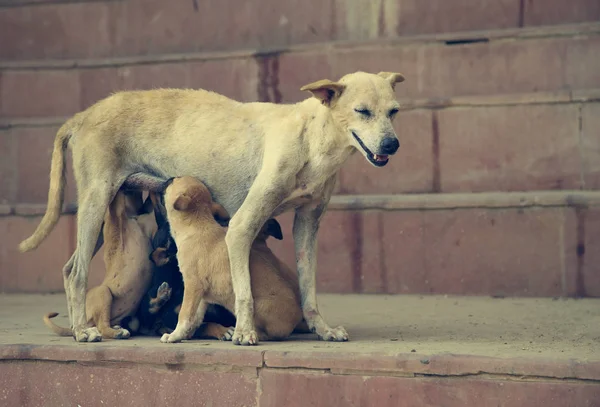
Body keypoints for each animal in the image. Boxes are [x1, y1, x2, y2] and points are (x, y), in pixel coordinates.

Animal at [44, 191, 157, 342]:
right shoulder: (118, 216)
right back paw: (117, 333)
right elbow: (117, 202)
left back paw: (117, 329)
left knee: (103, 324)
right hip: (104, 292)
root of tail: (81, 324)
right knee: (102, 326)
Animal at [158, 177, 302, 342]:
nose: (167, 179)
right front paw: (185, 334)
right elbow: (195, 318)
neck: (196, 225)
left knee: (264, 332)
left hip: (249, 304)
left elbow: (185, 314)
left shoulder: (193, 285)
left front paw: (174, 335)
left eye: (174, 180)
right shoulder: (202, 295)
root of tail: (296, 320)